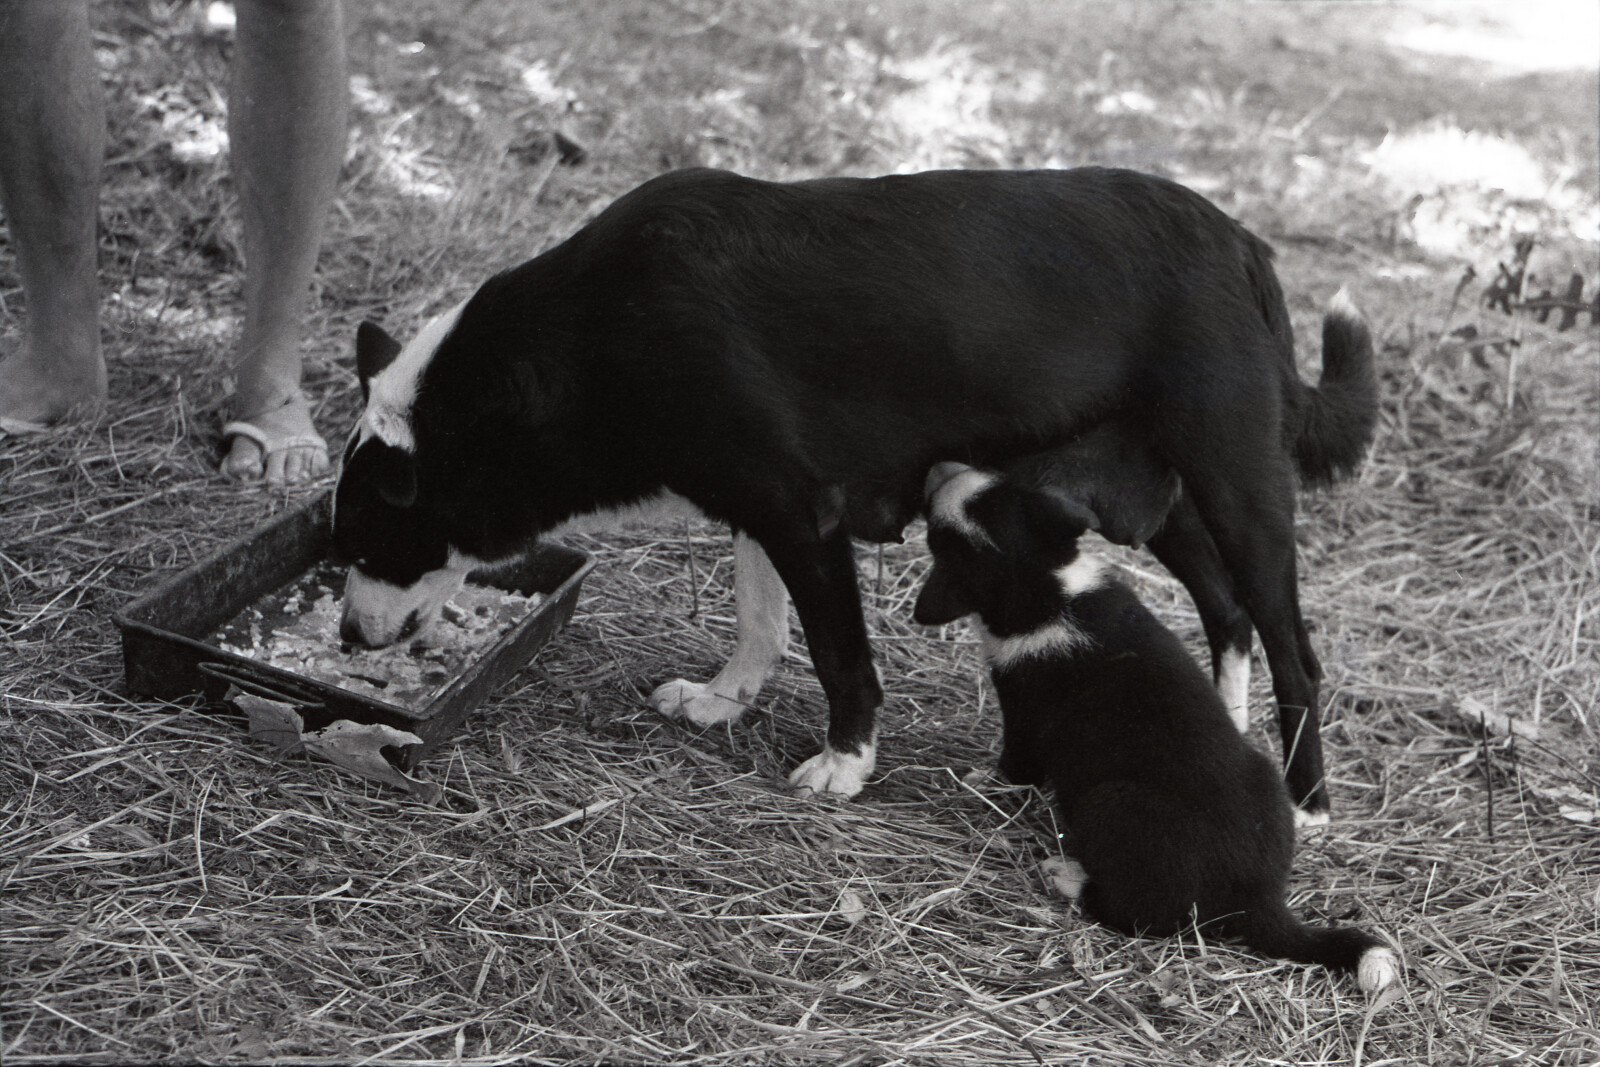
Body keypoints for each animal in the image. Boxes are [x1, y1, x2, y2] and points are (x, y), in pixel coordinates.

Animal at [334, 167, 1376, 819]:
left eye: (370, 543)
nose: (346, 637)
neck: (595, 335)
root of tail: (1245, 245)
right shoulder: (755, 504)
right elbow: (760, 622)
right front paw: (725, 701)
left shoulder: (804, 513)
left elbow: (840, 655)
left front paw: (847, 762)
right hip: (1161, 498)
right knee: (1227, 610)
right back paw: (1229, 733)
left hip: (1239, 487)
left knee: (1294, 650)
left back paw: (1308, 805)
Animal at [915, 463, 1401, 998]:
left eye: (937, 532)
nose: (937, 469)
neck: (1046, 582)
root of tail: (1257, 899)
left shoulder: (1022, 707)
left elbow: (1015, 764)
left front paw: (980, 783)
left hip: (1111, 806)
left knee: (1137, 912)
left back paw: (1067, 876)